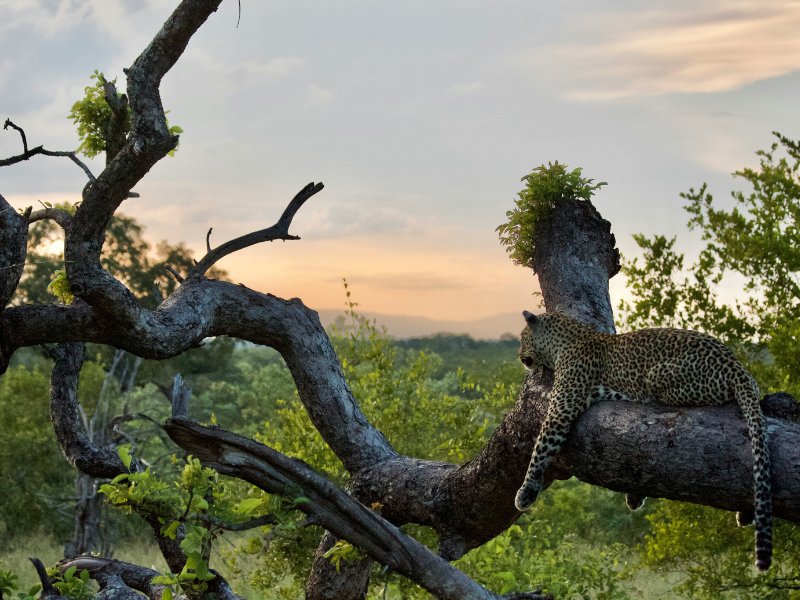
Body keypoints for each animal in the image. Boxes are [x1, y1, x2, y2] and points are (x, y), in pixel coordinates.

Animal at [514, 310, 773, 571]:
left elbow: (540, 449)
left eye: (523, 337)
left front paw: (526, 492)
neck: (566, 340)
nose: (518, 355)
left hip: (657, 376)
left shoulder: (561, 409)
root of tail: (737, 366)